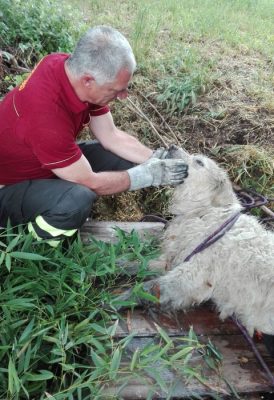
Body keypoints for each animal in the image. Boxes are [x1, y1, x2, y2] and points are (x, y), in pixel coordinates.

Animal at [132, 150, 272, 338]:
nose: (172, 146)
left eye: (199, 162)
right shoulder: (176, 257)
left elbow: (148, 289)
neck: (205, 213)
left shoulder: (194, 275)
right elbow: (136, 263)